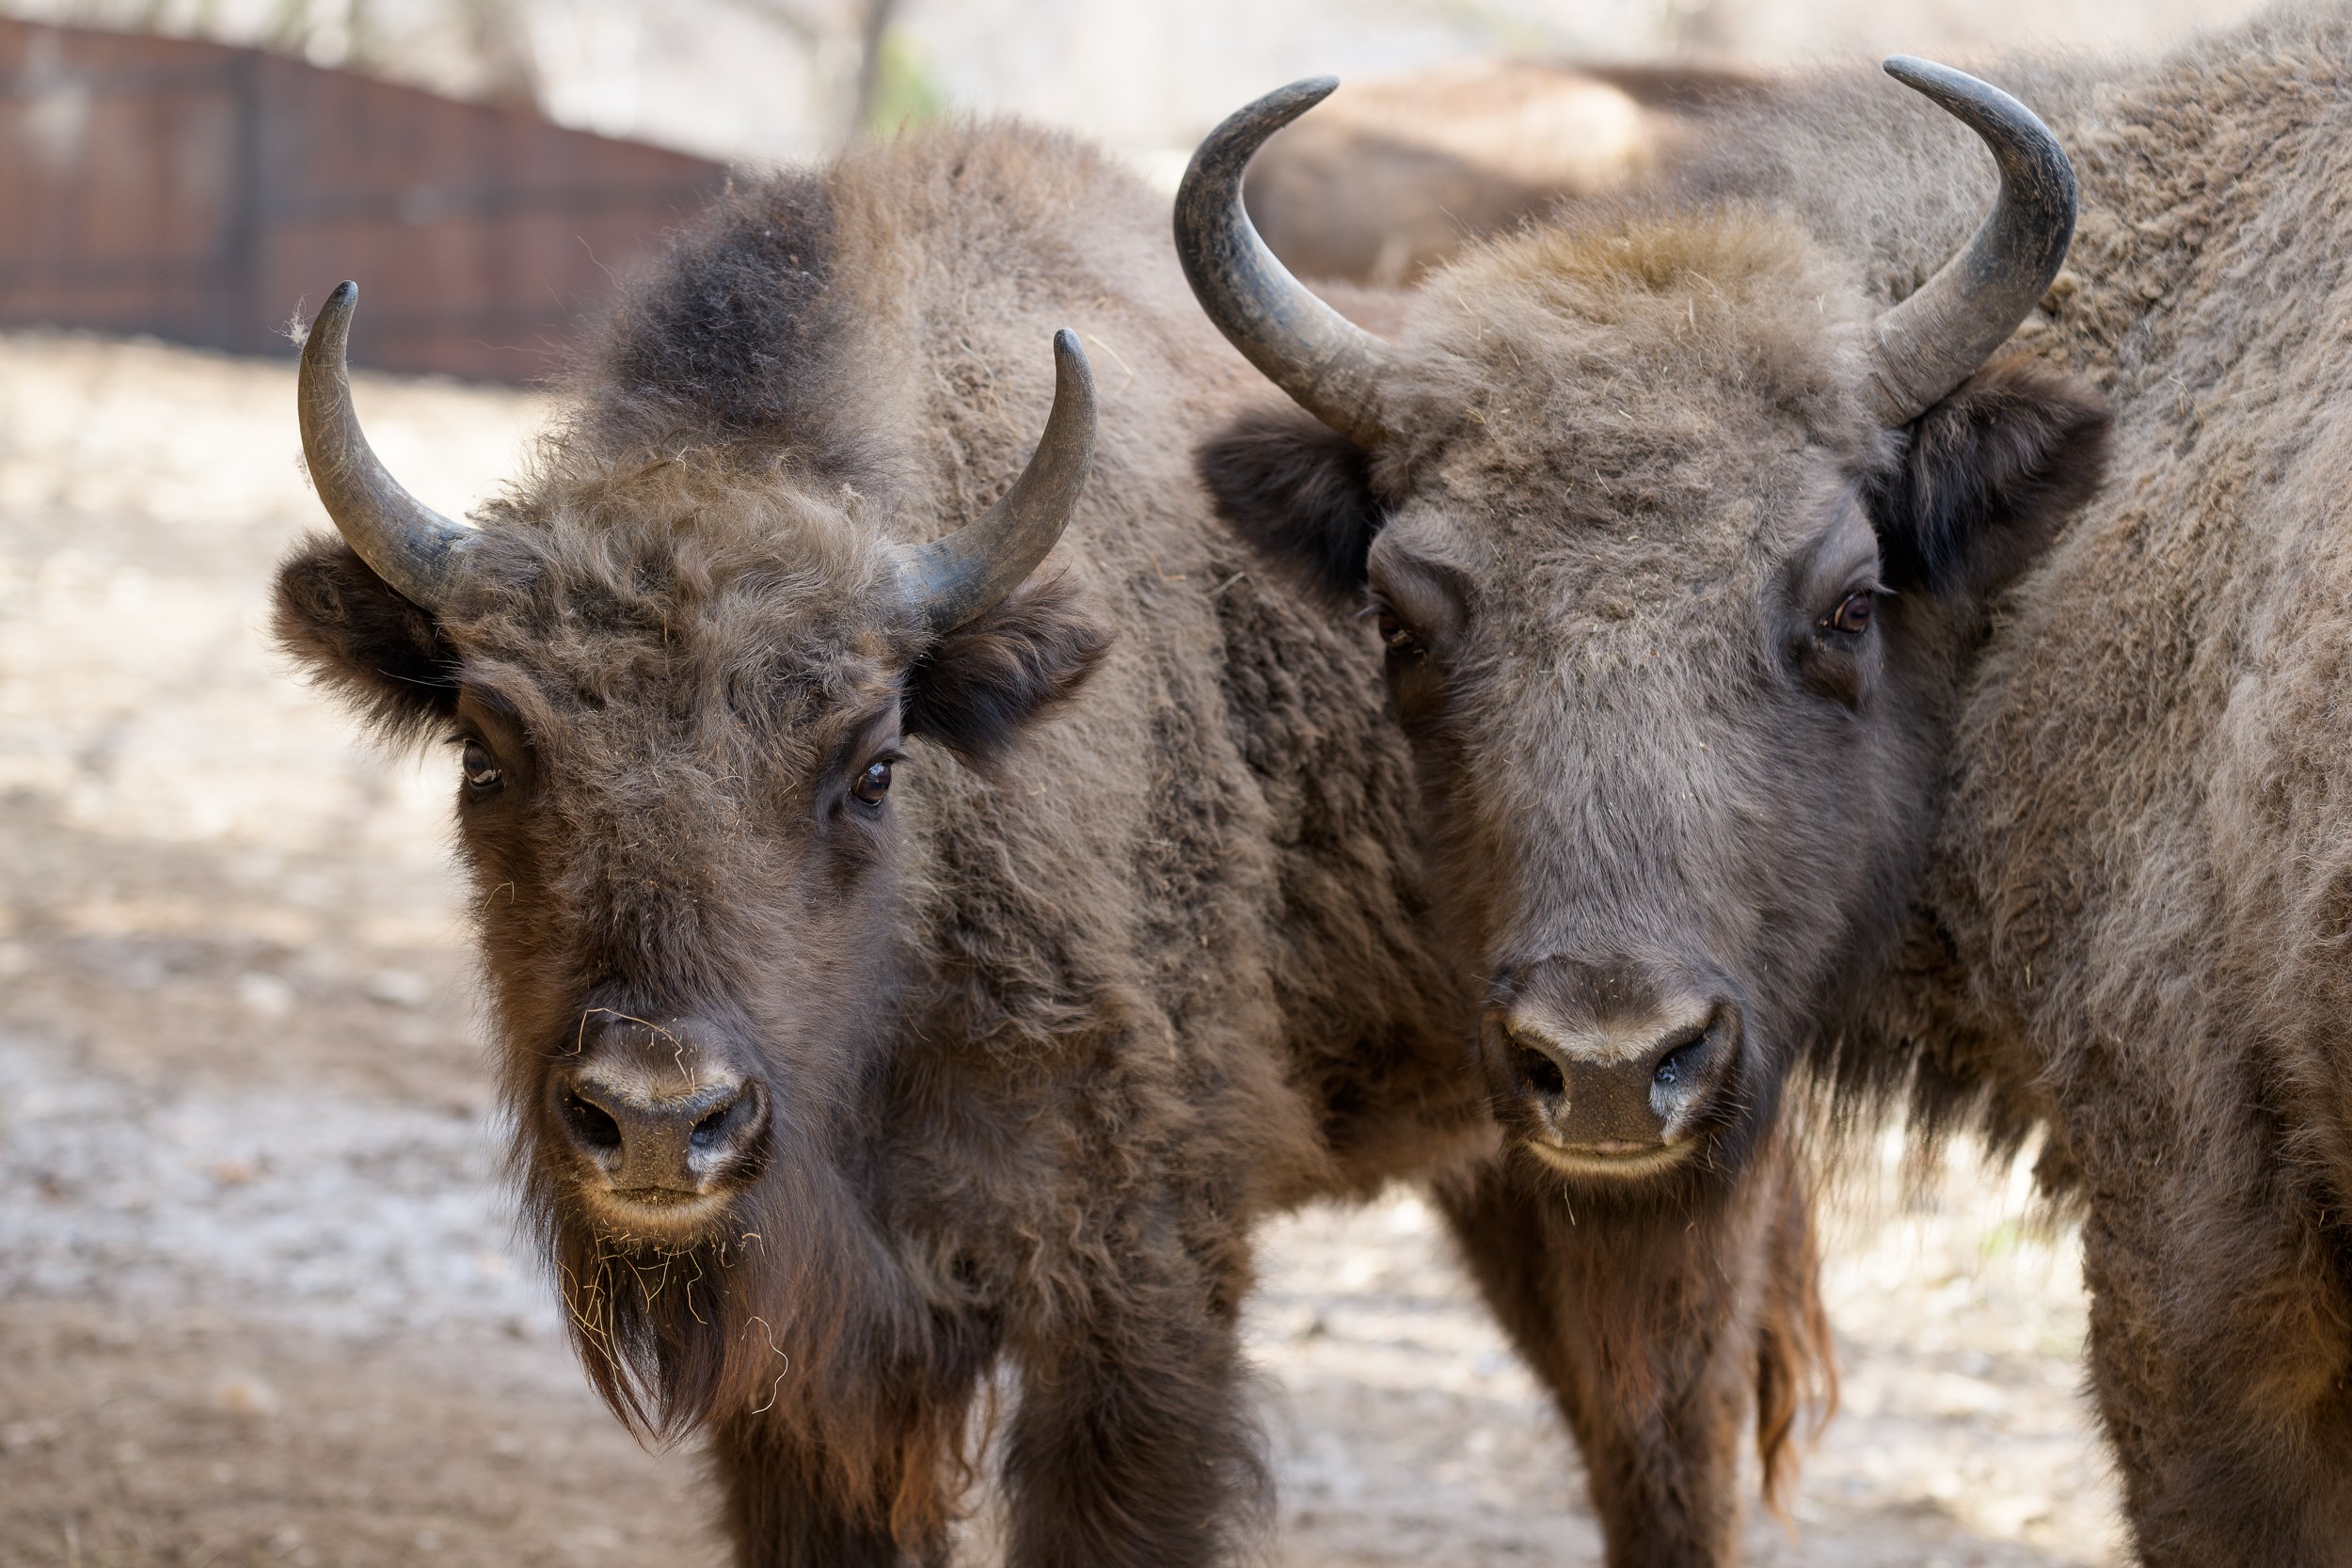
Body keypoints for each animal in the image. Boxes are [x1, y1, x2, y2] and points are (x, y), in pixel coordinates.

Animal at [266, 116, 1825, 1560]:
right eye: (485, 751)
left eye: (873, 763)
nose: (658, 1115)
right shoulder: (813, 1377)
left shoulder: (1131, 1300)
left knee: (1663, 1437)